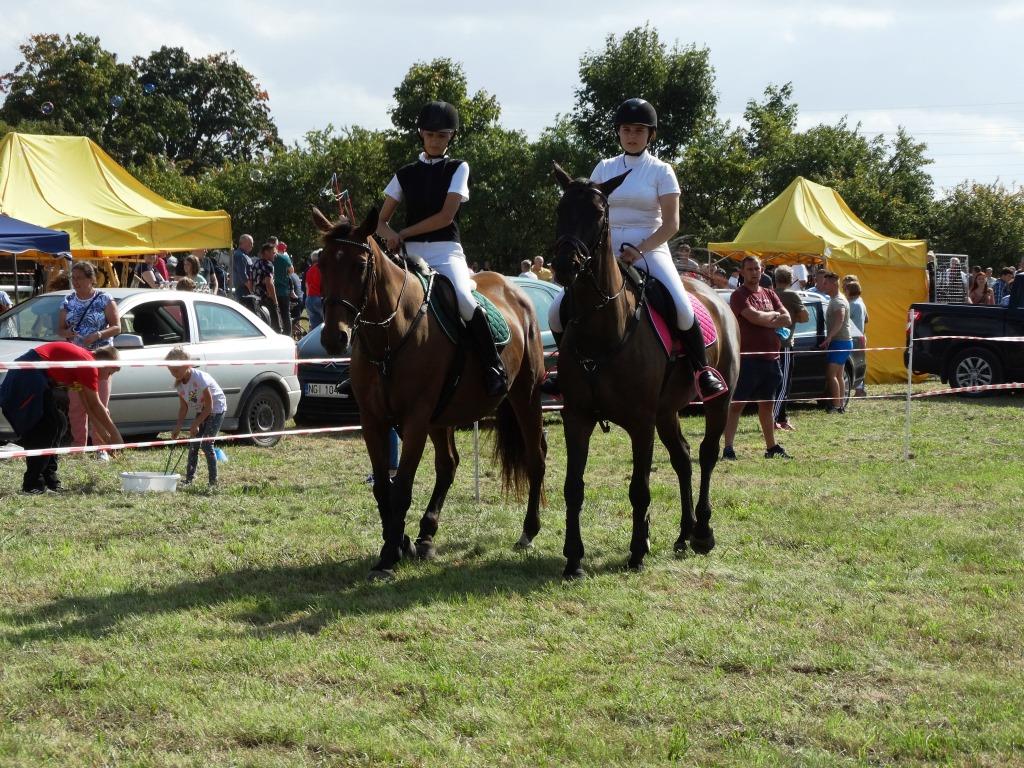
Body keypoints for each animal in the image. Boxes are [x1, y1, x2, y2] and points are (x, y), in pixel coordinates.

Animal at [312, 207, 547, 580]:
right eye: (322, 264)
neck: (390, 338)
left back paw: (528, 532)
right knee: (448, 464)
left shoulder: (415, 420)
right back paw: (425, 535)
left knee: (536, 457)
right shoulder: (373, 420)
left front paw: (389, 556)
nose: (335, 338)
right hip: (444, 414)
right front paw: (399, 542)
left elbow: (402, 488)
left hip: (524, 395)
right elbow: (383, 487)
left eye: (359, 265)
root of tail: (515, 291)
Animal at [549, 163, 741, 579]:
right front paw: (573, 558)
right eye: (560, 210)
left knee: (706, 454)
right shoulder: (578, 417)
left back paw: (702, 533)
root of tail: (717, 297)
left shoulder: (640, 422)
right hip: (666, 411)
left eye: (598, 213)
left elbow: (639, 488)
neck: (603, 328)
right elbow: (573, 486)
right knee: (683, 457)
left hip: (718, 400)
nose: (565, 266)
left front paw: (637, 551)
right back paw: (684, 534)